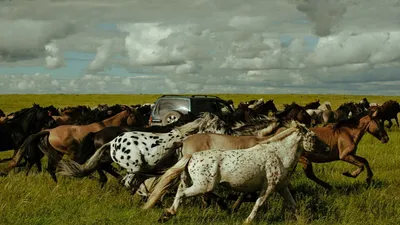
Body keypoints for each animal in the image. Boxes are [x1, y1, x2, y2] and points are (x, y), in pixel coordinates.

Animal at [3, 109, 139, 183]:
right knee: (53, 167)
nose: (140, 126)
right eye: (135, 115)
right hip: (64, 152)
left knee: (46, 167)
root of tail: (49, 131)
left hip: (56, 153)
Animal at [148, 121, 330, 225]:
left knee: (180, 191)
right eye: (314, 137)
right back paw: (168, 214)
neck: (278, 154)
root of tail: (191, 155)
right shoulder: (269, 187)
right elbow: (258, 203)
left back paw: (166, 215)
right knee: (182, 194)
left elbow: (293, 205)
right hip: (203, 186)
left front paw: (303, 220)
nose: (328, 148)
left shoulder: (281, 187)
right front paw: (246, 220)